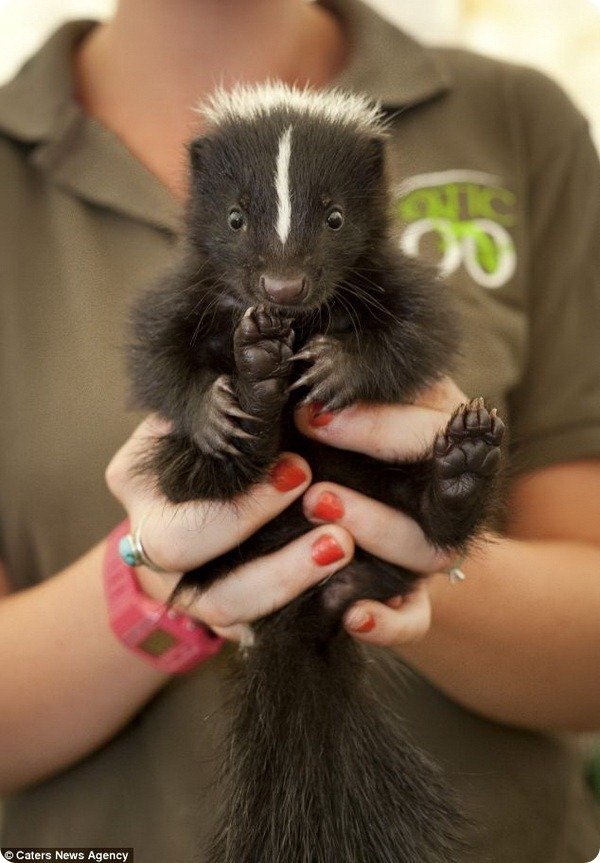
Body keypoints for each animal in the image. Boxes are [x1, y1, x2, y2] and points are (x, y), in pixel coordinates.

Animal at [129, 82, 504, 863]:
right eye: (235, 217)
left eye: (334, 217)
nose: (282, 285)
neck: (298, 321)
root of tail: (306, 611)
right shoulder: (191, 288)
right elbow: (157, 355)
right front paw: (211, 407)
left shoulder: (383, 274)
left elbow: (414, 334)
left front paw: (338, 369)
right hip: (206, 508)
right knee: (196, 476)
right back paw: (253, 401)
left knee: (425, 510)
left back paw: (461, 469)